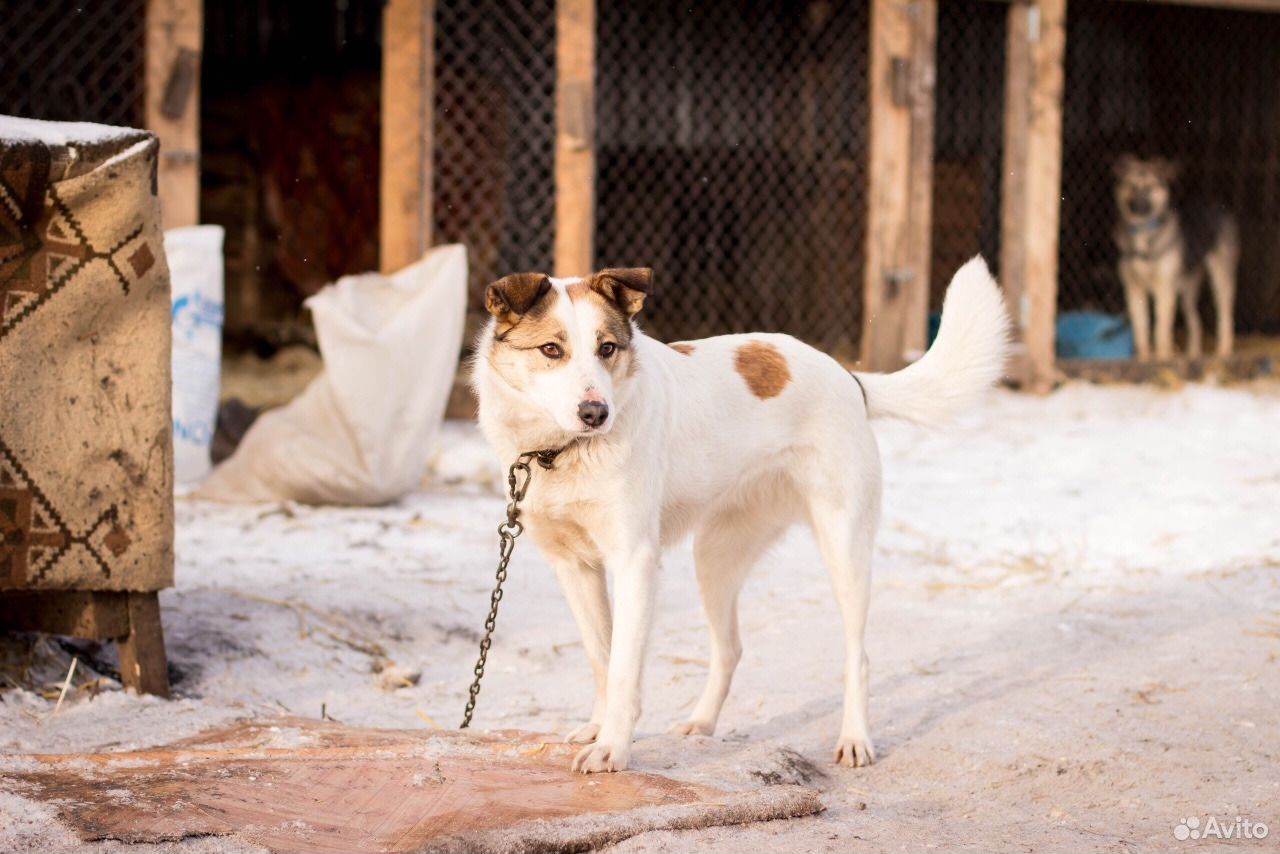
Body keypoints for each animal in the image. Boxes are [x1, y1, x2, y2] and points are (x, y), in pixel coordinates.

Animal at [471, 257, 1008, 773]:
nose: (596, 413)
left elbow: (623, 668)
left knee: (858, 656)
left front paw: (613, 749)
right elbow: (602, 656)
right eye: (551, 350)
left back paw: (855, 739)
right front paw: (600, 728)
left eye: (607, 348)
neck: (558, 452)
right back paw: (702, 722)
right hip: (715, 556)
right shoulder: (575, 567)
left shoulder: (634, 561)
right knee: (730, 647)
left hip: (845, 547)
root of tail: (847, 376)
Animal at [1116, 155, 1233, 358]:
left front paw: (1162, 357)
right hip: (1187, 291)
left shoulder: (1164, 288)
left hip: (1221, 279)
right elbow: (1141, 329)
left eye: (1150, 187)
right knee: (1195, 322)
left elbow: (1160, 329)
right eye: (1131, 185)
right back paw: (1193, 354)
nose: (1137, 208)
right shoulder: (1133, 289)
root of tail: (1217, 206)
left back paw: (1224, 351)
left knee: (1225, 315)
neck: (1143, 234)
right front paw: (1144, 358)